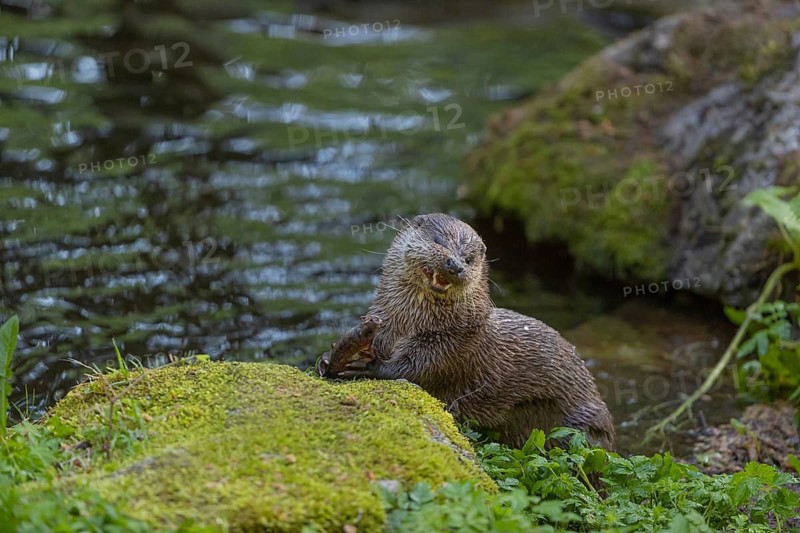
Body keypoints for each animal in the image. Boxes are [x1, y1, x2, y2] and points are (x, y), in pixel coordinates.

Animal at [331, 213, 615, 450]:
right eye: (438, 241)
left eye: (468, 259)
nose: (455, 265)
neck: (409, 322)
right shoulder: (385, 323)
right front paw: (332, 358)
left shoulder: (452, 342)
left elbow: (417, 367)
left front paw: (369, 367)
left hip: (579, 430)